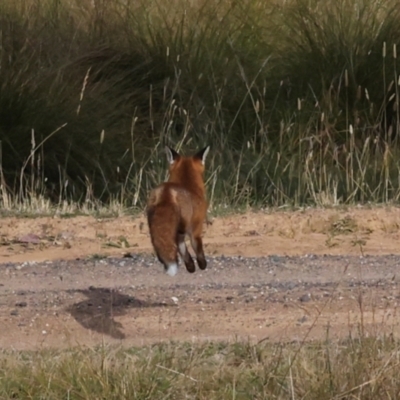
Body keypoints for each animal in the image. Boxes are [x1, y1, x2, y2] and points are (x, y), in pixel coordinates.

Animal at [146, 145, 209, 276]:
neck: (189, 185)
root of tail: (167, 192)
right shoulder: (196, 228)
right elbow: (198, 248)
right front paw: (201, 264)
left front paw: (191, 266)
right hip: (182, 228)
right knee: (180, 245)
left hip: (153, 226)